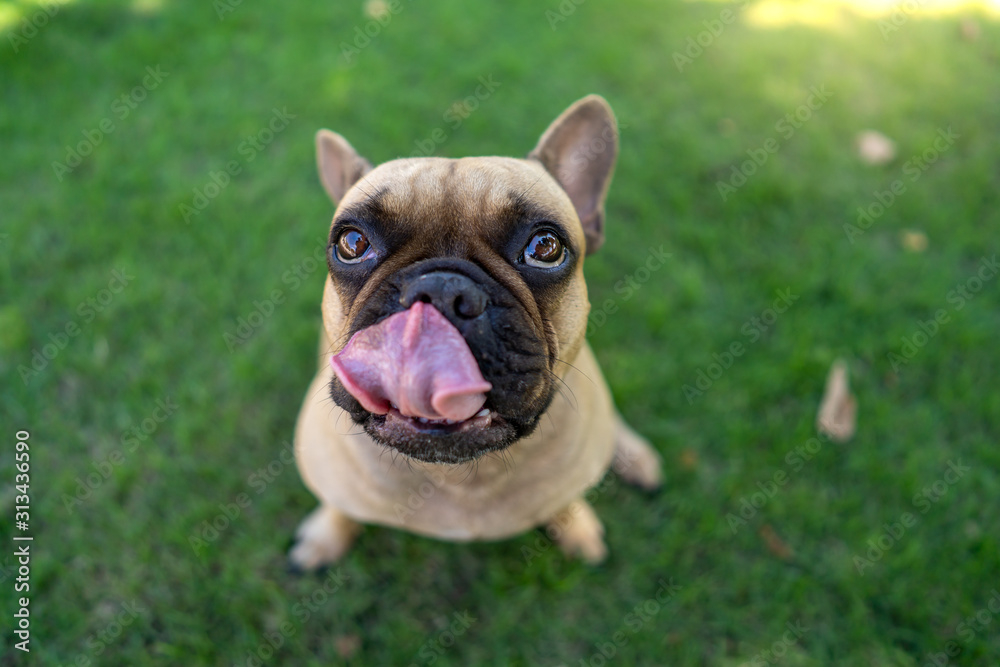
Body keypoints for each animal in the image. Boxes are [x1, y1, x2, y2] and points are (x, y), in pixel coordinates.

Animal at [290, 96, 664, 572]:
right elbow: (340, 506)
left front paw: (575, 524)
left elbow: (566, 497)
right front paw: (327, 536)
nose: (441, 290)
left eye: (545, 248)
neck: (454, 476)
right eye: (351, 243)